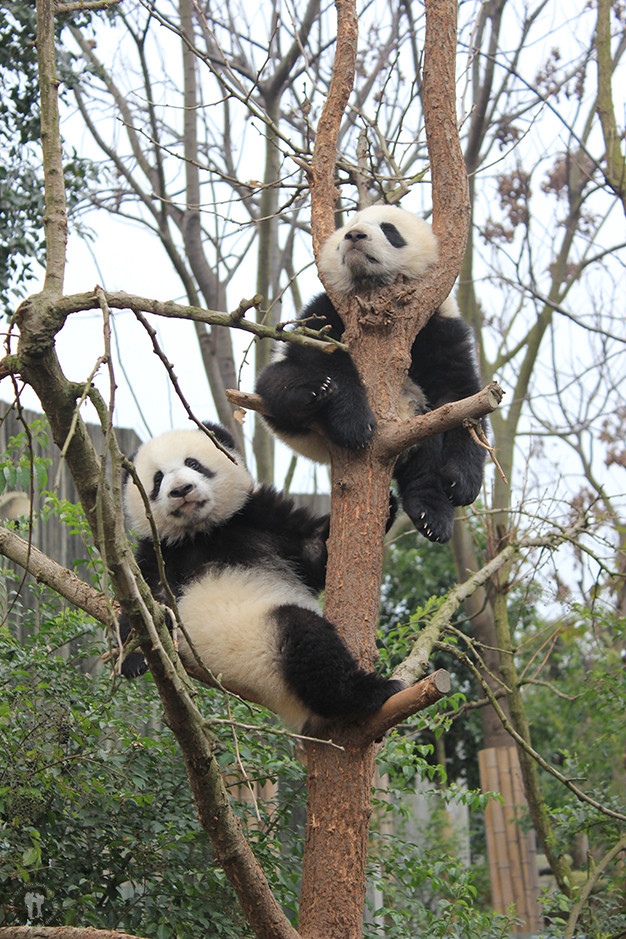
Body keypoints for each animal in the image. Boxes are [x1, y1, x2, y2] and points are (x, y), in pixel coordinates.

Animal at [117, 420, 402, 736]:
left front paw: (389, 504)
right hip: (261, 651)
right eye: (157, 480)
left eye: (193, 463)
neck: (203, 532)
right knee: (307, 642)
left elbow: (314, 553)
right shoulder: (159, 553)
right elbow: (146, 598)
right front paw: (133, 657)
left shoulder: (258, 517)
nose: (181, 489)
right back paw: (367, 692)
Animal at [254, 204, 482, 544]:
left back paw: (432, 515)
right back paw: (310, 394)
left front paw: (463, 482)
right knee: (275, 383)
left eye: (389, 230)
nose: (355, 235)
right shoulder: (327, 309)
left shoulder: (438, 325)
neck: (373, 288)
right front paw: (355, 425)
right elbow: (323, 352)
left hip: (415, 426)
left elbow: (459, 396)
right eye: (350, 226)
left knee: (426, 450)